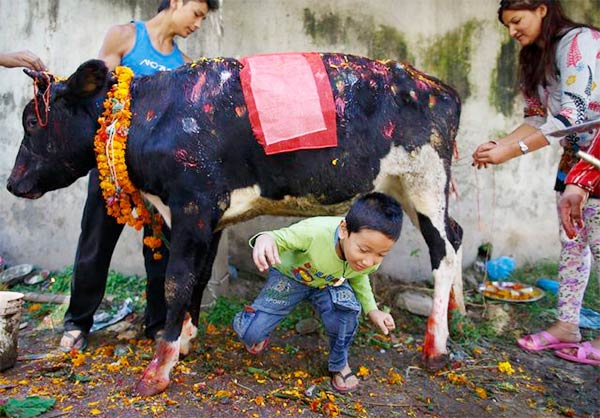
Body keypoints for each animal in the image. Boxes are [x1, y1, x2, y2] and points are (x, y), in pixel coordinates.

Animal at [5, 54, 464, 396]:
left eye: (31, 121)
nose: (12, 183)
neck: (150, 116)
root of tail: (438, 86)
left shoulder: (192, 206)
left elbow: (176, 281)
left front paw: (158, 368)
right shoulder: (209, 217)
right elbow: (198, 276)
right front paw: (184, 339)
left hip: (425, 181)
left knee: (442, 251)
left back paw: (435, 346)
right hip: (407, 186)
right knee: (456, 235)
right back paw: (455, 309)